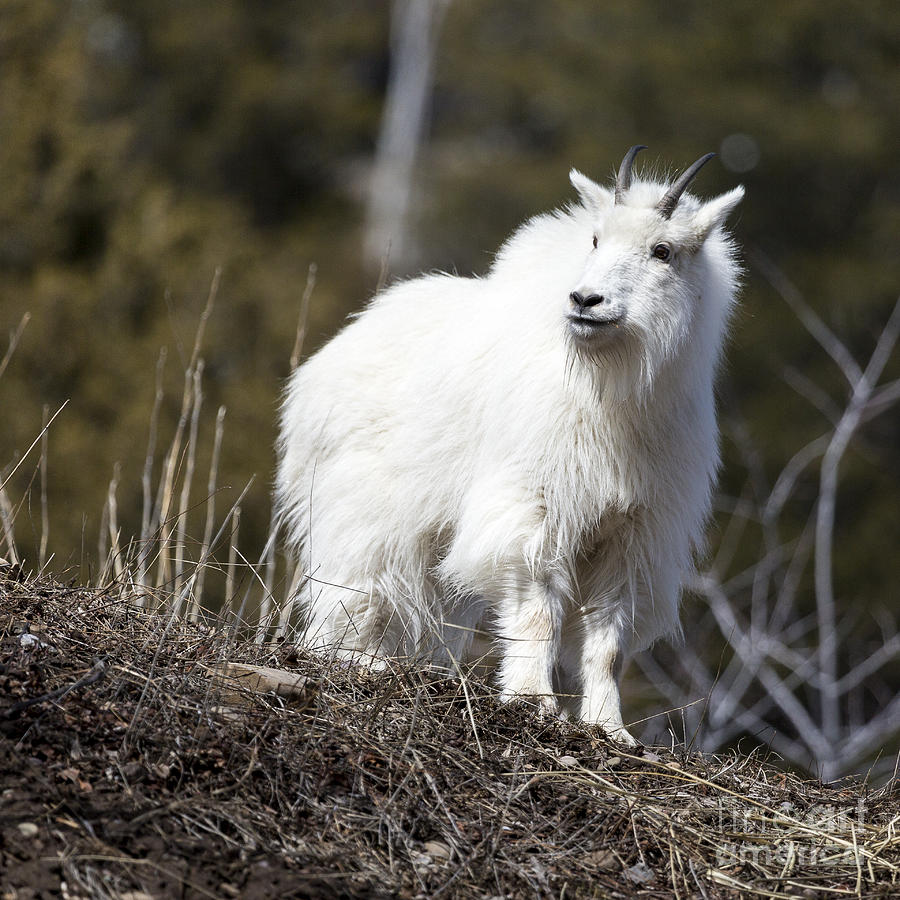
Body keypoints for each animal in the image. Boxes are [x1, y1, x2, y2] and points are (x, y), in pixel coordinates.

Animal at [278, 144, 740, 740]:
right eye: (596, 239)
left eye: (663, 250)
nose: (586, 300)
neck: (611, 393)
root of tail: (316, 372)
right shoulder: (534, 505)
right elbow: (537, 609)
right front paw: (532, 700)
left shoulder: (633, 533)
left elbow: (607, 641)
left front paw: (610, 728)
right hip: (362, 518)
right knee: (354, 598)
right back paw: (361, 664)